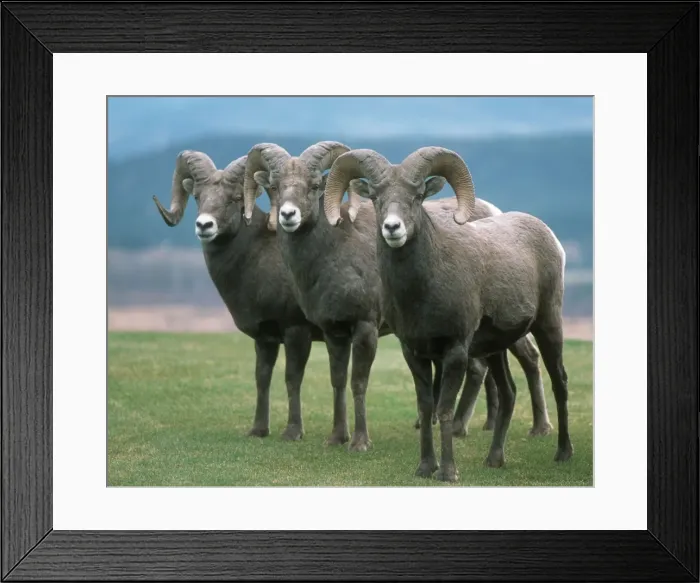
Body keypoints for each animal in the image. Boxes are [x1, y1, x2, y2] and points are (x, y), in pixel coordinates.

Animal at [152, 150, 335, 442]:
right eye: (198, 196)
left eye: (236, 198)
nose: (204, 225)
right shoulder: (265, 338)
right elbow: (262, 378)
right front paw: (258, 430)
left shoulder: (296, 332)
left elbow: (292, 378)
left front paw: (293, 432)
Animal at [323, 146, 573, 482]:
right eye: (375, 197)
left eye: (417, 196)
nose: (392, 228)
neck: (422, 292)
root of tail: (550, 237)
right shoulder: (414, 353)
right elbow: (426, 407)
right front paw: (425, 468)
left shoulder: (454, 352)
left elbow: (444, 409)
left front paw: (448, 472)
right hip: (496, 349)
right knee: (508, 392)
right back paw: (494, 459)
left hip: (548, 326)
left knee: (560, 382)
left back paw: (563, 453)